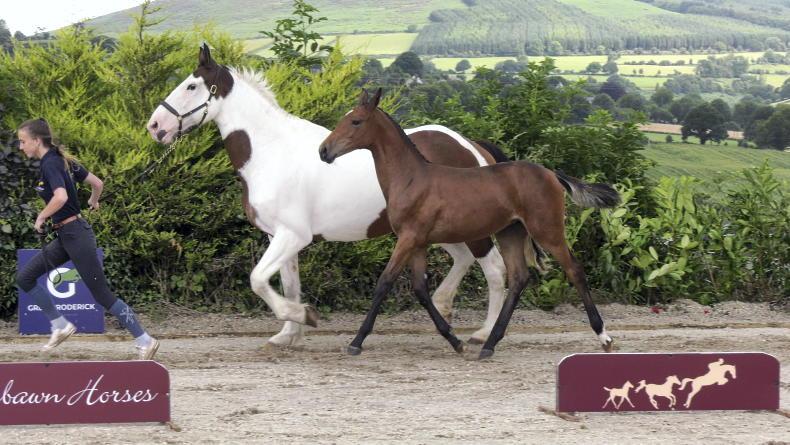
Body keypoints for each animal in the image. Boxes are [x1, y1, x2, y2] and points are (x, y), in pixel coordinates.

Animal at [146, 43, 510, 348]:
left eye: (191, 86)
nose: (155, 126)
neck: (270, 152)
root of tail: (472, 147)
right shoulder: (279, 237)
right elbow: (289, 284)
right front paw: (288, 335)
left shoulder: (293, 236)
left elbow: (258, 280)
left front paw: (304, 316)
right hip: (436, 230)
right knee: (464, 260)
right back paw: (444, 307)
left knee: (494, 270)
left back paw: (483, 334)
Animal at [319, 88, 619, 359]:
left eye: (356, 121)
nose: (324, 151)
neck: (412, 178)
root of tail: (551, 174)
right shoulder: (417, 242)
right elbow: (420, 289)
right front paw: (455, 341)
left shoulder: (409, 238)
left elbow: (384, 283)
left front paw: (356, 341)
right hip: (510, 232)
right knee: (519, 277)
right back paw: (489, 344)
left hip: (546, 230)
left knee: (573, 270)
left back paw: (604, 337)